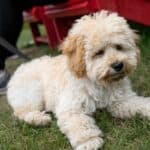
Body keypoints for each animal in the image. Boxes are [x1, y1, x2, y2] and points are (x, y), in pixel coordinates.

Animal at [7, 10, 150, 150]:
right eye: (99, 52)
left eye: (119, 47)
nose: (118, 65)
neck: (100, 82)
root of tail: (19, 70)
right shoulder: (71, 106)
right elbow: (79, 123)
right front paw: (89, 141)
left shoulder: (121, 101)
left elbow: (138, 103)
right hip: (32, 93)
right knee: (21, 112)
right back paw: (39, 119)